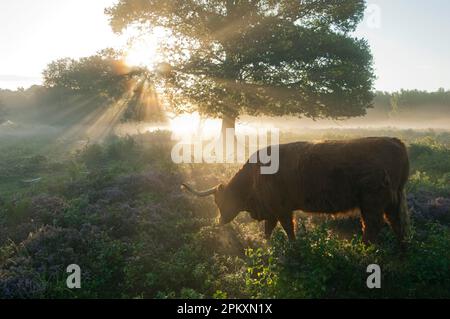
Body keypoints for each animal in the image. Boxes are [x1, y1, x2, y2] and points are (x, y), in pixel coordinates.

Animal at [183, 138, 412, 245]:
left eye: (219, 202)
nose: (219, 221)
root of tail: (395, 141)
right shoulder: (272, 210)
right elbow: (269, 230)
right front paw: (267, 247)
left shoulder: (281, 208)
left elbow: (287, 228)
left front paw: (293, 248)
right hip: (393, 200)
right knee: (397, 223)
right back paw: (402, 251)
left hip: (373, 201)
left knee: (373, 226)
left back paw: (364, 250)